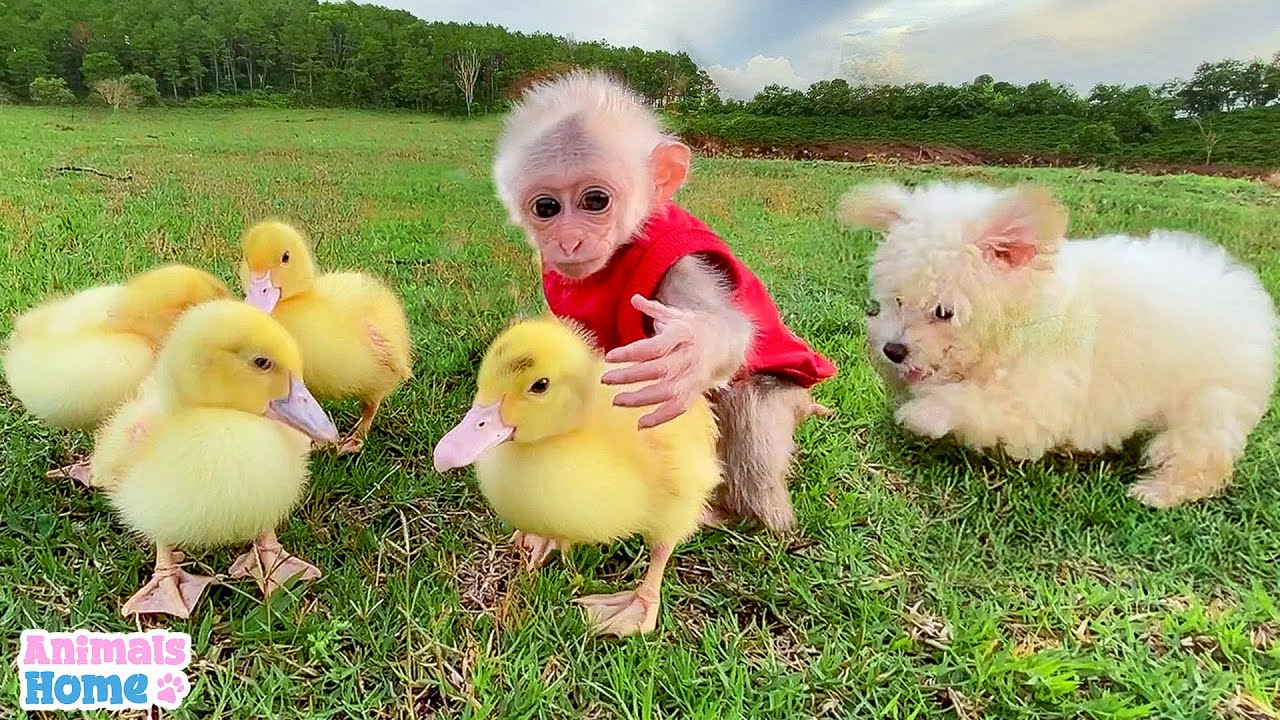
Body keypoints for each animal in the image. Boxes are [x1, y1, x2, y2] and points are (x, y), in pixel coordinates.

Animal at [488, 70, 839, 548]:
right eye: (547, 207)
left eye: (595, 201)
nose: (569, 241)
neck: (620, 252)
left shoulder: (678, 261)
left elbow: (723, 332)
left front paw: (690, 351)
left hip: (786, 395)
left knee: (750, 404)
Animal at [844, 178, 1274, 504]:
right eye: (898, 301)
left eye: (943, 312)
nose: (893, 351)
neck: (1028, 313)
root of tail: (1246, 294)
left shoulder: (1036, 397)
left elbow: (981, 403)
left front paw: (923, 413)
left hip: (1209, 402)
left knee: (1200, 454)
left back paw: (1159, 491)